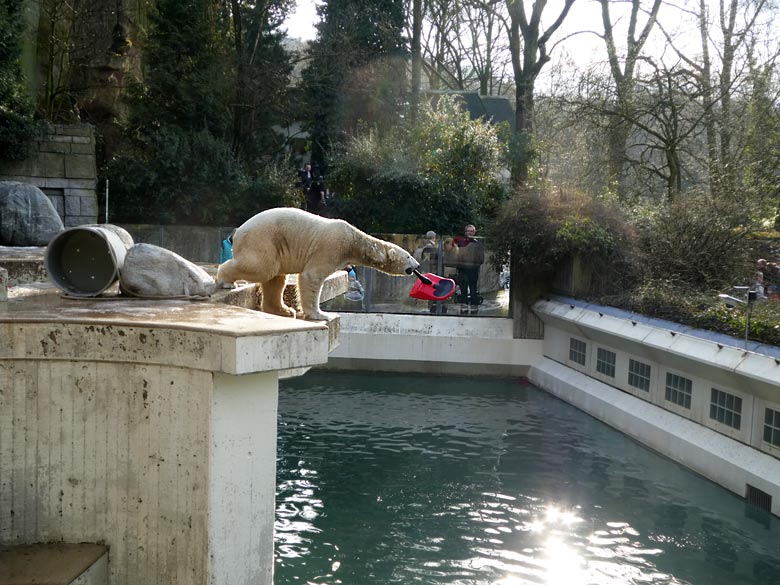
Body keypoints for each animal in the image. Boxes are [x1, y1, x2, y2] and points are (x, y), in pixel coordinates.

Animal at [216, 208, 418, 320]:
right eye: (408, 256)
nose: (416, 266)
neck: (353, 240)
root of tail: (238, 232)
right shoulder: (331, 247)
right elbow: (312, 276)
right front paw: (320, 314)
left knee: (276, 278)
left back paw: (284, 310)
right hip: (262, 238)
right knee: (262, 268)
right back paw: (225, 281)